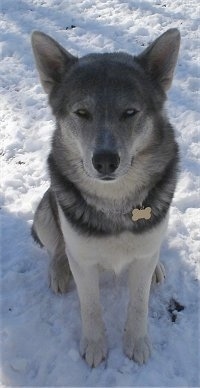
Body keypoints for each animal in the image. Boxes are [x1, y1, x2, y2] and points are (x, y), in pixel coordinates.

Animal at [31, 28, 181, 366]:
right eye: (82, 113)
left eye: (130, 112)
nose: (105, 161)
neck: (115, 203)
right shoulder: (84, 260)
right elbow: (91, 307)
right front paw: (95, 345)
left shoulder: (145, 248)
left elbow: (138, 304)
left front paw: (136, 342)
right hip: (45, 211)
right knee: (57, 248)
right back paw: (58, 270)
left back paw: (159, 267)